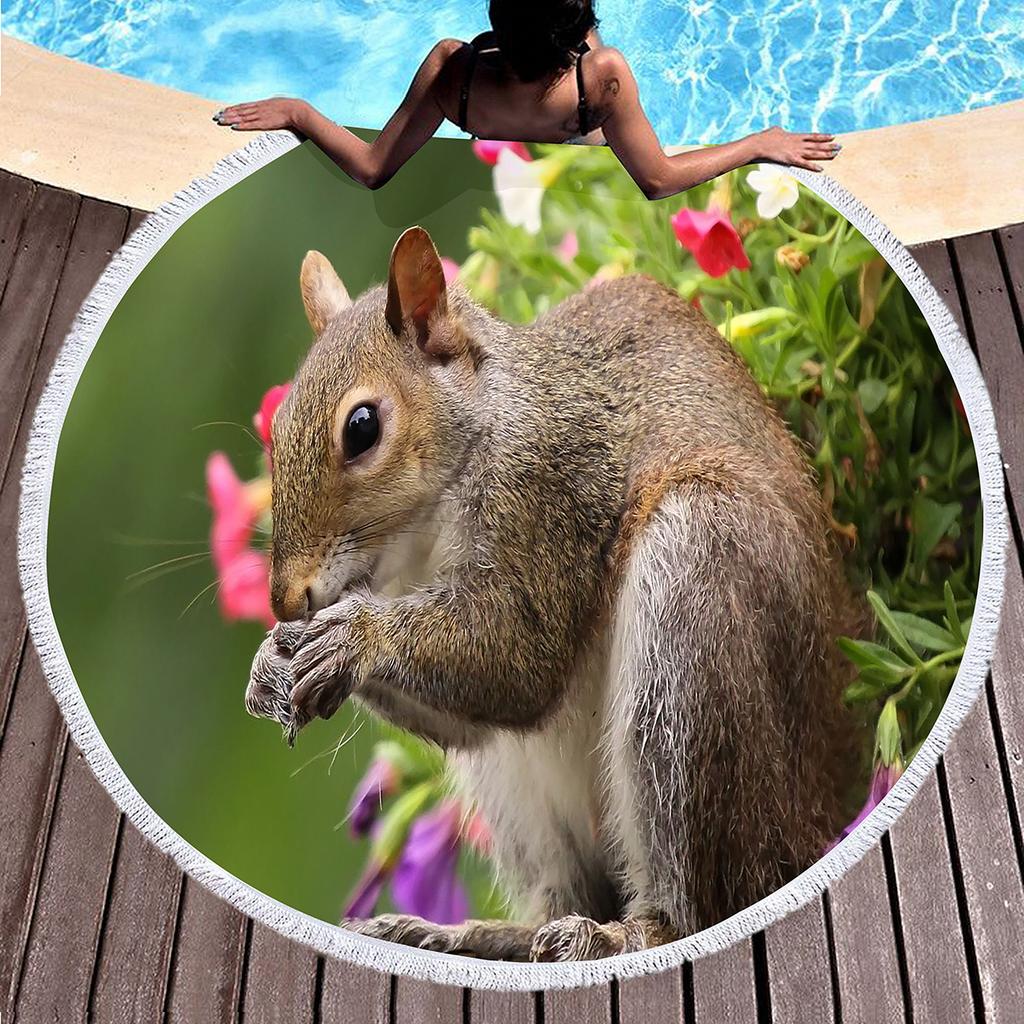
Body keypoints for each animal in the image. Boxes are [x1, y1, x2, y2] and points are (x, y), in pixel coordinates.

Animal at [245, 225, 866, 962]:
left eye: (362, 427)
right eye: (277, 425)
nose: (286, 600)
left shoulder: (550, 491)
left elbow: (519, 660)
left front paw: (352, 637)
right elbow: (468, 716)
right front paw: (271, 660)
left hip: (694, 620)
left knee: (700, 906)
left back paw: (620, 933)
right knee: (562, 891)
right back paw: (473, 936)